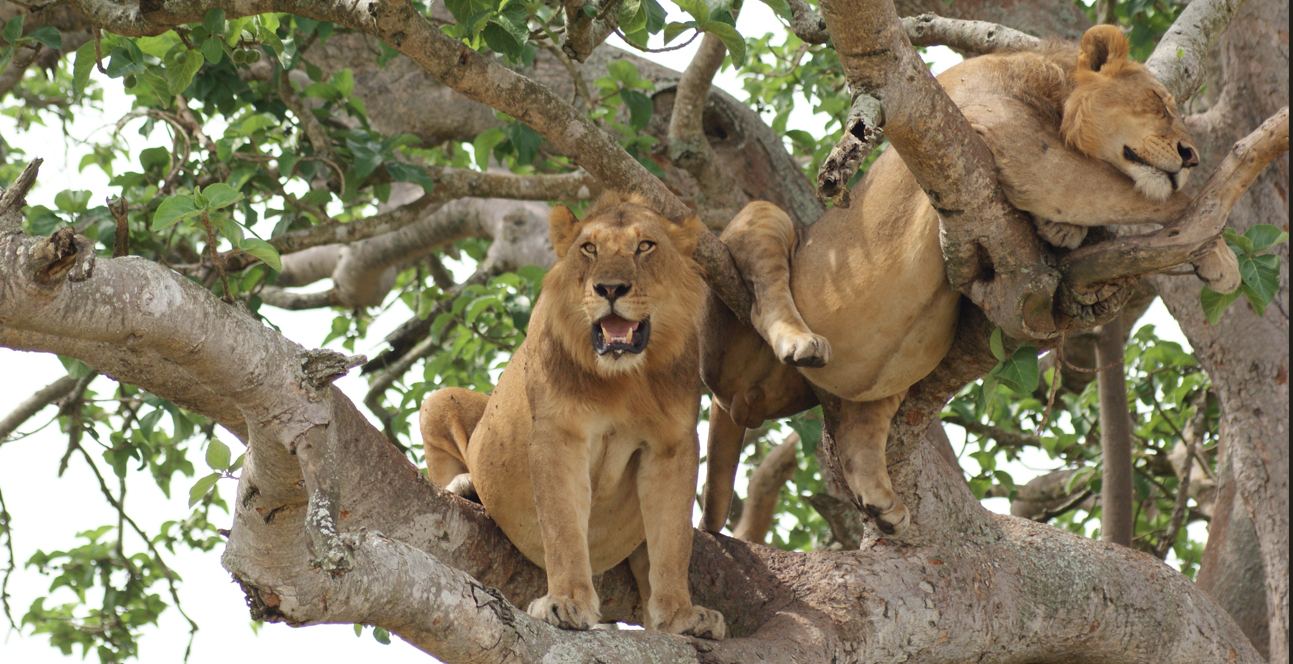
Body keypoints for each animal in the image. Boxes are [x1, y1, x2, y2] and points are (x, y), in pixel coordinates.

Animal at [420, 194, 726, 639]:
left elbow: (672, 541)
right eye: (589, 248)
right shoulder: (558, 434)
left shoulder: (673, 445)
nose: (610, 288)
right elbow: (562, 525)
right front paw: (565, 603)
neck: (624, 381)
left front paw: (682, 616)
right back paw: (464, 485)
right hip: (438, 400)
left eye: (645, 246)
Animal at [699, 25, 1241, 537]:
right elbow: (1152, 197)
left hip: (884, 378)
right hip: (765, 222)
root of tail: (737, 405)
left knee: (858, 428)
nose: (1191, 157)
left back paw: (881, 505)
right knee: (764, 296)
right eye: (1158, 104)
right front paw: (1221, 254)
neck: (1053, 90)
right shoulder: (1011, 140)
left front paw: (1062, 230)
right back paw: (800, 342)